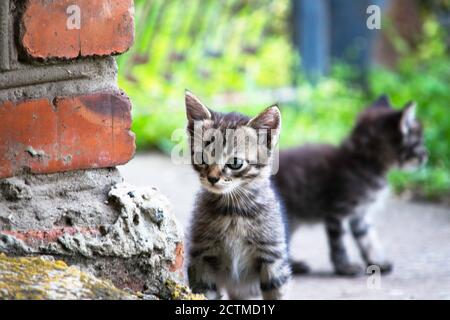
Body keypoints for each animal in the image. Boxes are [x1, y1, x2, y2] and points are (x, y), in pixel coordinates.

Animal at [185, 90, 290, 300]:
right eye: (202, 157)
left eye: (234, 163)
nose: (212, 178)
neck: (234, 211)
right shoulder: (201, 258)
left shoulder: (273, 258)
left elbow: (278, 293)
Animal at [276, 96, 428, 276]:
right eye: (418, 142)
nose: (426, 155)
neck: (365, 161)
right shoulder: (337, 211)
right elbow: (339, 242)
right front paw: (345, 267)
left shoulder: (360, 214)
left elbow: (368, 238)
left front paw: (377, 262)